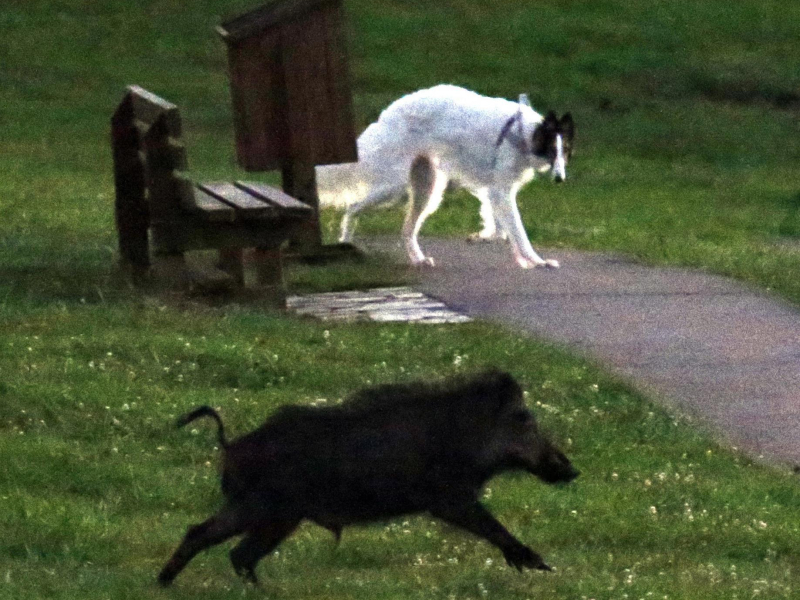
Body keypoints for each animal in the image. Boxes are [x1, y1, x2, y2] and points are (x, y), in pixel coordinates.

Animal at [316, 85, 572, 268]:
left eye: (565, 151)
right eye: (552, 150)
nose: (560, 179)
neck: (520, 132)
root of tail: (387, 115)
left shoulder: (495, 190)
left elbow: (499, 229)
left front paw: (486, 238)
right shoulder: (500, 191)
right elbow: (518, 231)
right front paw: (537, 261)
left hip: (425, 191)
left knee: (406, 231)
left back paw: (418, 259)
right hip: (394, 186)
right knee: (352, 208)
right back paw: (346, 241)